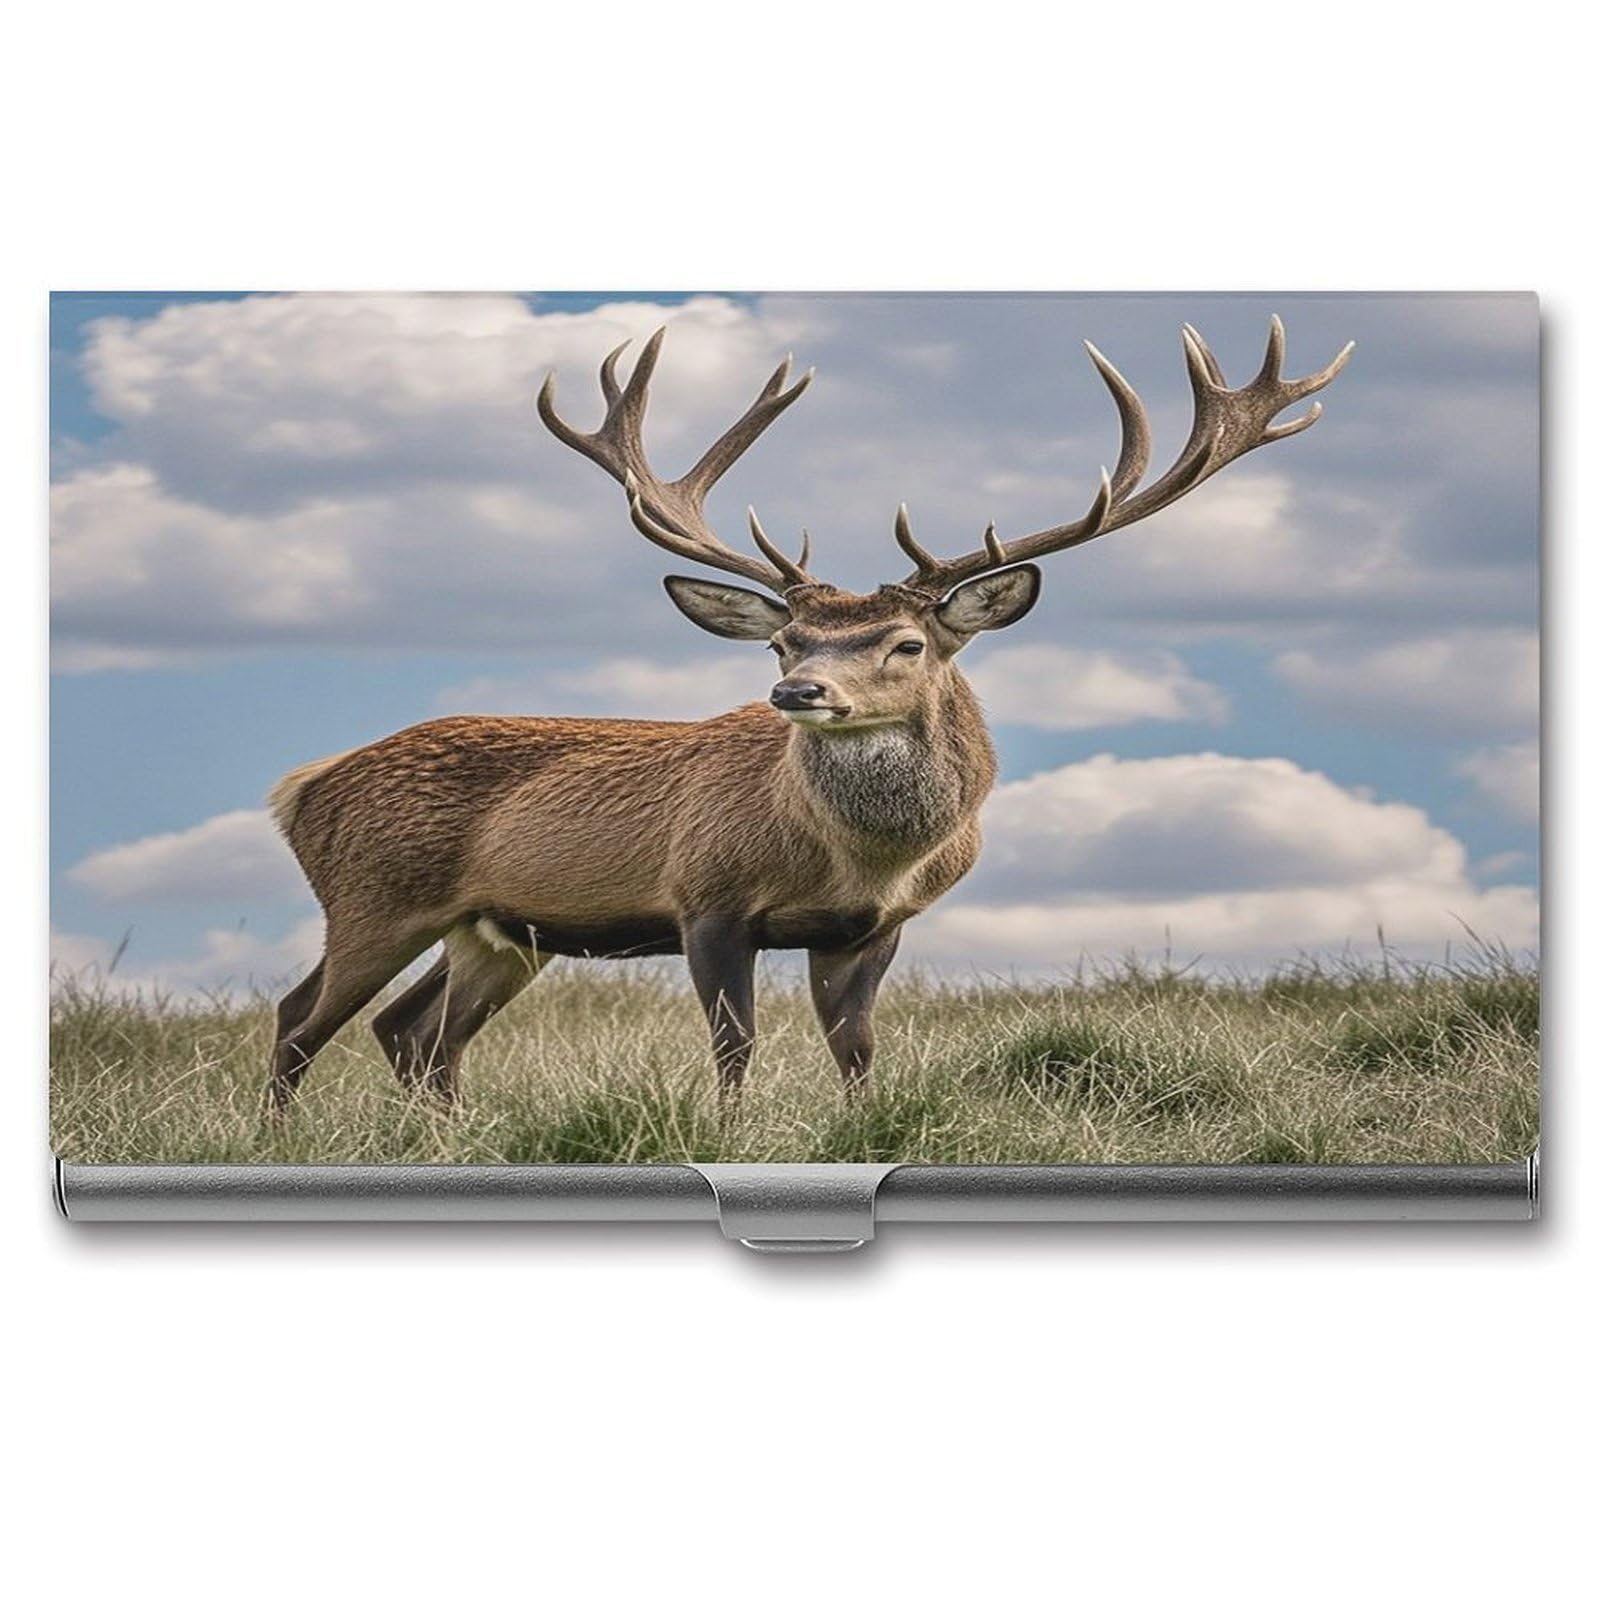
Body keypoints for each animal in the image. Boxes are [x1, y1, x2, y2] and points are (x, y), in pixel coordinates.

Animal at [265, 316, 1352, 1111]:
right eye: (784, 643)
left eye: (906, 644)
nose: (798, 693)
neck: (848, 855)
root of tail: (300, 788)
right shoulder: (704, 896)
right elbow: (734, 1045)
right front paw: (728, 1130)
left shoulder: (869, 927)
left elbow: (856, 1047)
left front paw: (863, 1123)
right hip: (373, 895)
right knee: (298, 1018)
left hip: (496, 930)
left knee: (413, 1033)